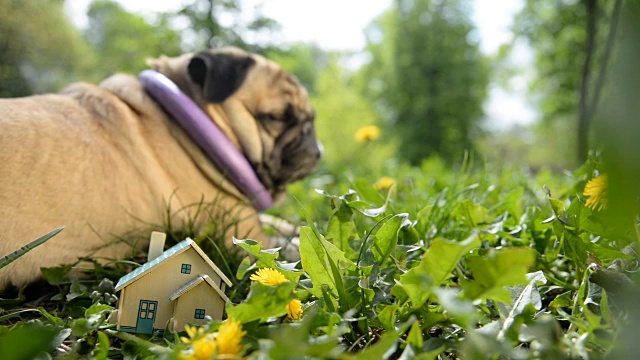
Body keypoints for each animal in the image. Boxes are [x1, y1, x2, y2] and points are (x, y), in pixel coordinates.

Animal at [0, 47, 320, 290]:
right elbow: (285, 246)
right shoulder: (244, 234)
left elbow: (287, 225)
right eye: (278, 117)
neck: (186, 126)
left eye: (310, 118)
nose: (315, 146)